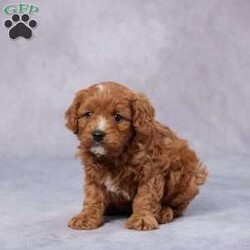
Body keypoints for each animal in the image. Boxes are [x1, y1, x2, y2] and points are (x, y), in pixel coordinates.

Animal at [64, 81, 207, 230]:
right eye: (88, 114)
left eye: (118, 117)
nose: (98, 134)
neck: (115, 156)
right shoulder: (94, 173)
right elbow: (93, 195)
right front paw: (86, 217)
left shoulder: (150, 172)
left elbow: (145, 197)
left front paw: (142, 218)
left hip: (181, 174)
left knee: (178, 207)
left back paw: (164, 212)